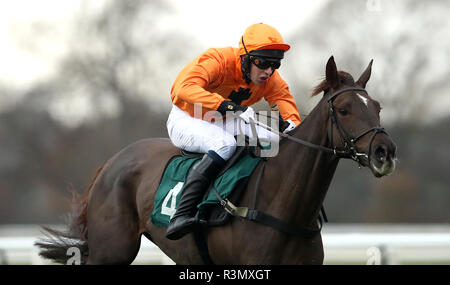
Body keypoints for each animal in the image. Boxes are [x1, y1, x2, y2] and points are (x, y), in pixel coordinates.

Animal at [37, 56, 398, 264]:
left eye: (378, 107)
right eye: (344, 109)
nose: (385, 152)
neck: (282, 202)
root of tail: (111, 162)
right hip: (112, 250)